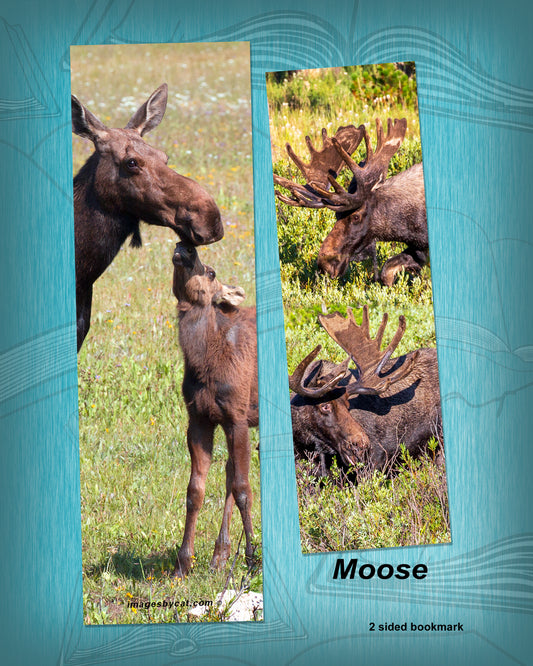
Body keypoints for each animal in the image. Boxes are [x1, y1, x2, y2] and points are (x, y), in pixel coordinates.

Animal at [171, 241, 258, 578]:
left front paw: (252, 559)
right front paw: (183, 563)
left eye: (211, 272)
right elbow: (194, 490)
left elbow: (244, 489)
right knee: (228, 472)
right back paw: (219, 555)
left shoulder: (238, 417)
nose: (184, 246)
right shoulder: (199, 419)